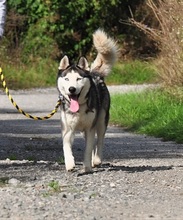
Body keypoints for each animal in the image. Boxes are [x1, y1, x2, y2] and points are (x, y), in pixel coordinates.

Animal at [56, 29, 118, 173]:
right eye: (66, 79)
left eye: (78, 79)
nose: (72, 89)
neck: (78, 109)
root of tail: (95, 73)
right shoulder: (67, 129)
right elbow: (66, 147)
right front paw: (70, 164)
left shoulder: (90, 128)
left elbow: (88, 149)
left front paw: (88, 167)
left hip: (101, 121)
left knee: (99, 141)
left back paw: (96, 160)